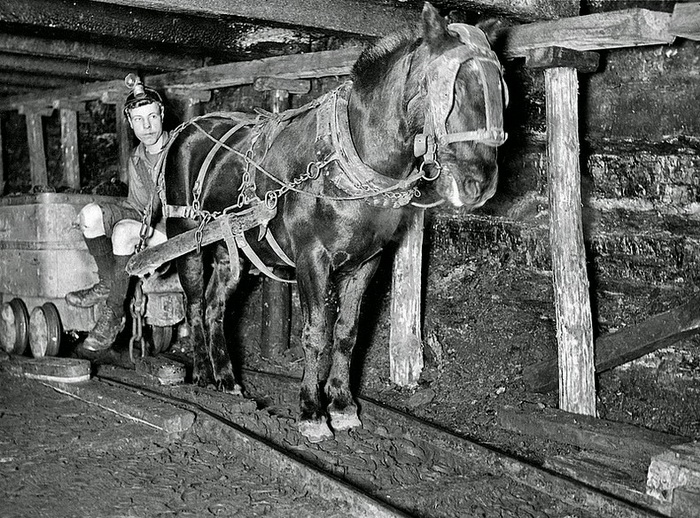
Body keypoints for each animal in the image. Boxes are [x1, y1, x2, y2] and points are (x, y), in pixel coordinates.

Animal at [161, 3, 506, 442]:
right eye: (453, 91)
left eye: (500, 92)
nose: (481, 184)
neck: (351, 160)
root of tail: (188, 128)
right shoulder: (312, 258)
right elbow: (316, 334)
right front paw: (311, 411)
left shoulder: (367, 261)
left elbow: (346, 332)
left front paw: (342, 405)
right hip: (187, 239)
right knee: (192, 304)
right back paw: (204, 374)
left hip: (229, 251)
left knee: (214, 307)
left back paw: (226, 378)